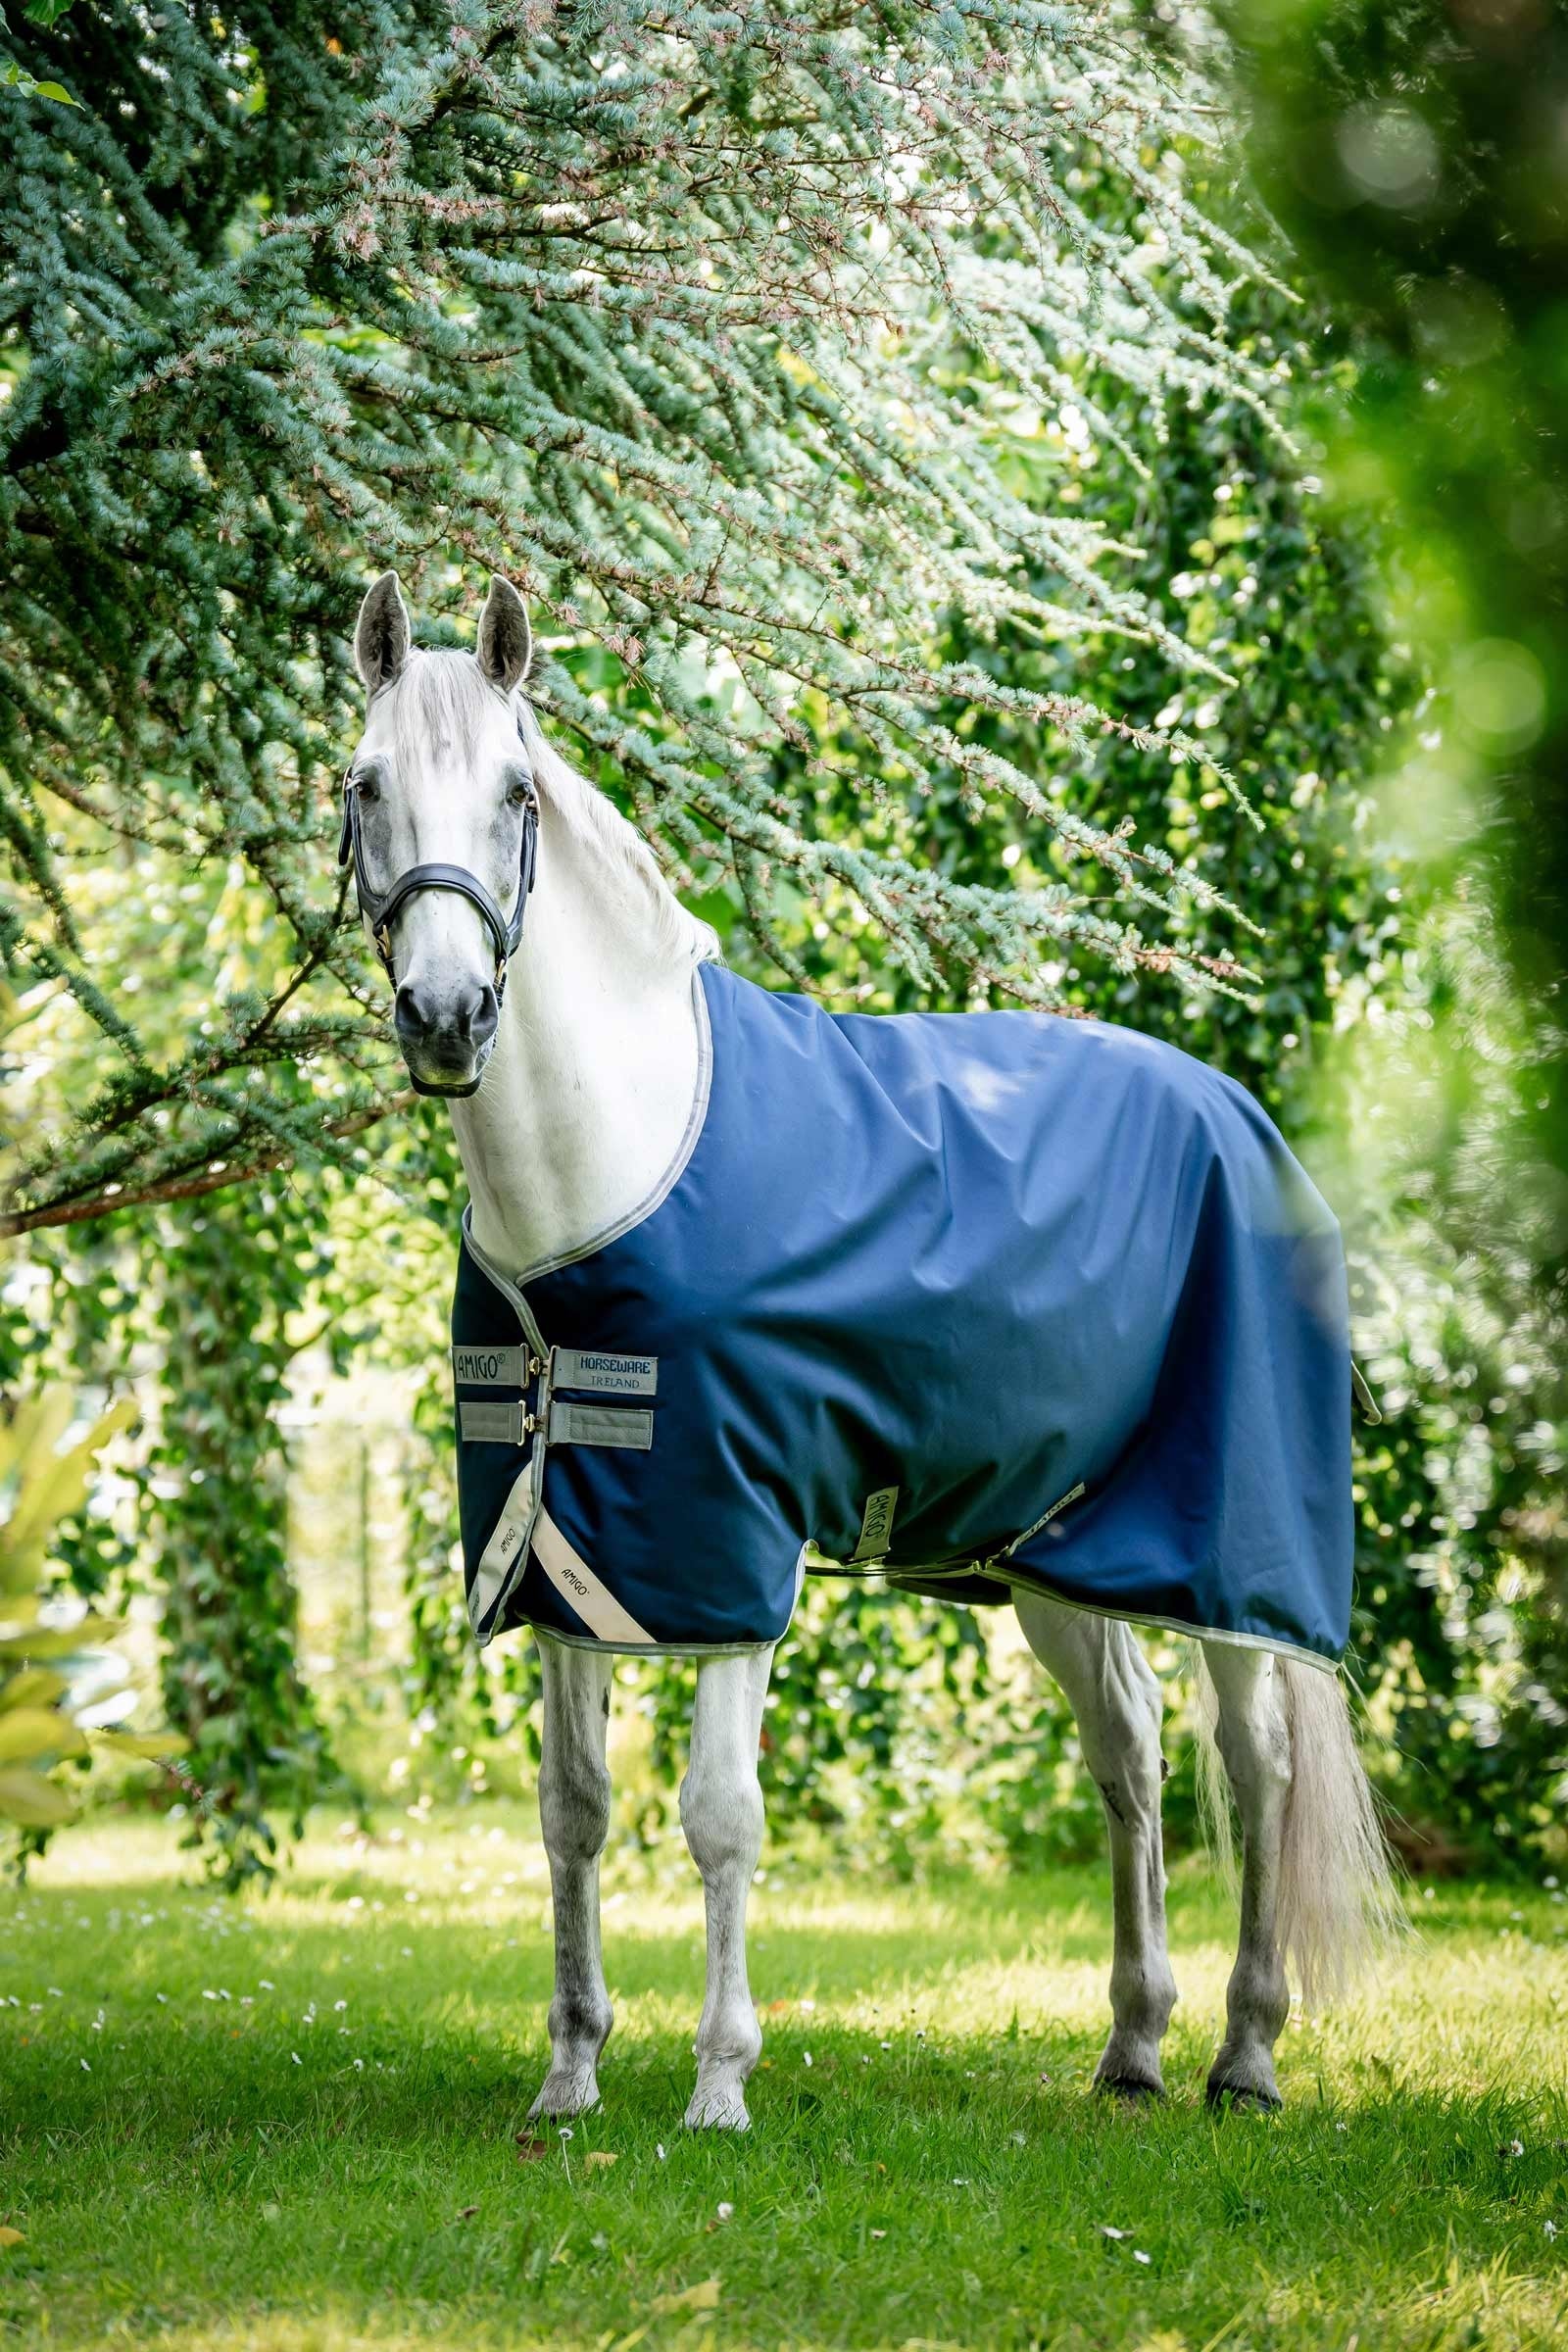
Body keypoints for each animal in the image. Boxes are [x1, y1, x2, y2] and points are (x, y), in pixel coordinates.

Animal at [339, 568, 1395, 2130]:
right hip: (1055, 1551)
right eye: (367, 786)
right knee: (1132, 1757)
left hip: (1221, 1554)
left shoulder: (728, 1547)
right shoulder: (565, 1551)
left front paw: (719, 2087)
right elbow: (572, 1814)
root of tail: (1244, 1120)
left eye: (516, 795)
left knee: (1253, 1764)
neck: (612, 1161)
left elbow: (720, 1818)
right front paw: (570, 2076)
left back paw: (1245, 2057)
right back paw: (1134, 2048)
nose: (447, 1015)